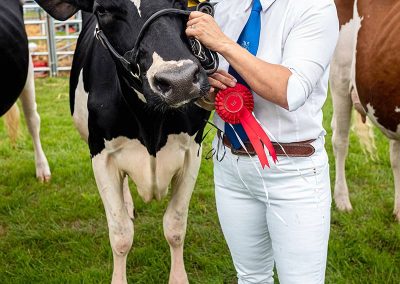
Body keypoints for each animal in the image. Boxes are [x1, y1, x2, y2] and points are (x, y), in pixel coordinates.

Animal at [34, 0, 212, 282]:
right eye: (103, 10)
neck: (151, 126)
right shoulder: (101, 156)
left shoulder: (191, 149)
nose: (180, 80)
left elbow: (175, 227)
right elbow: (121, 235)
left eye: (182, 1)